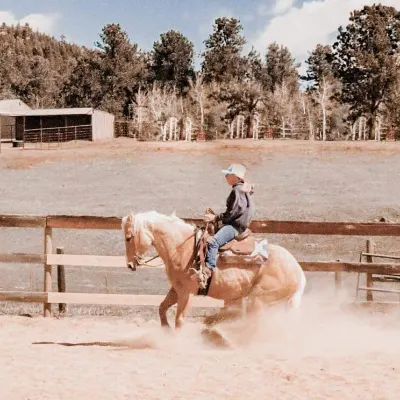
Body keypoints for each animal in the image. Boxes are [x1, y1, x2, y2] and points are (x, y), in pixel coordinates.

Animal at [122, 211, 306, 330]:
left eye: (128, 237)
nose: (130, 264)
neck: (182, 248)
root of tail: (298, 270)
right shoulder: (177, 289)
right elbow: (161, 308)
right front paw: (165, 328)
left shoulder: (187, 292)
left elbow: (180, 320)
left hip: (258, 299)